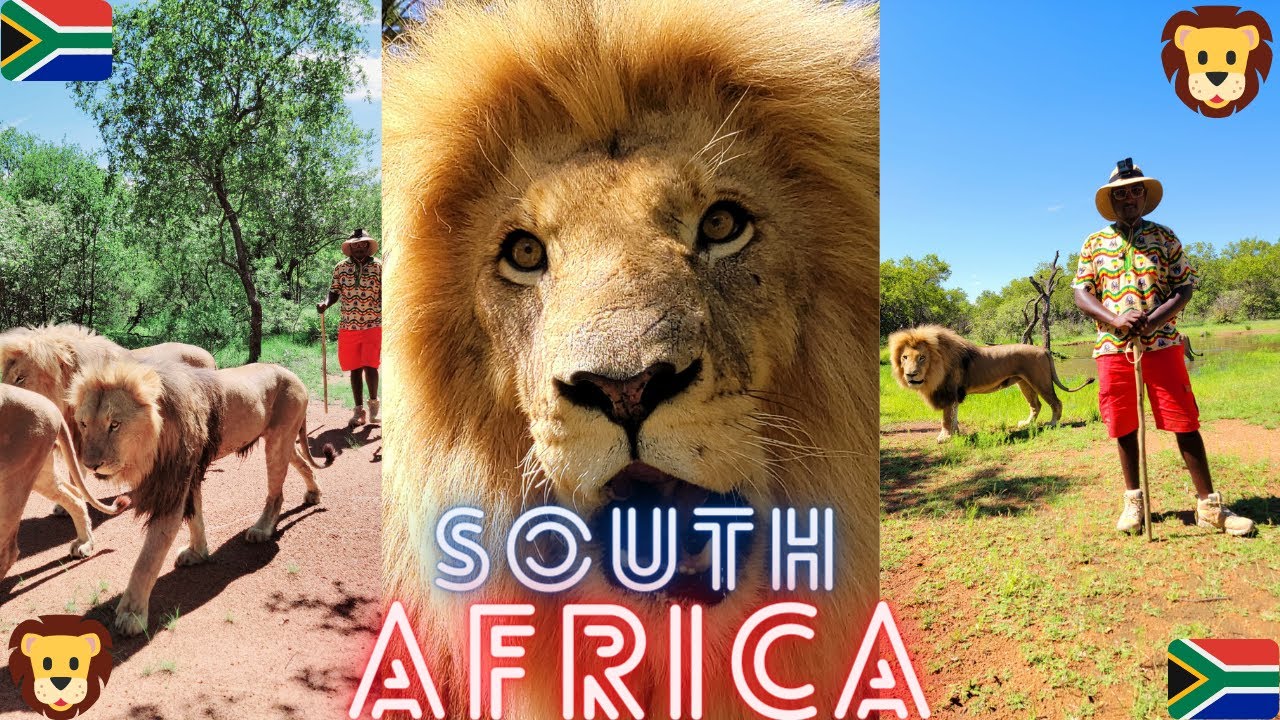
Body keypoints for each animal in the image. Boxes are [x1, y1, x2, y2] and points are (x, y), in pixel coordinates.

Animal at [1, 385, 125, 579]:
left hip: (16, 476)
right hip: (39, 473)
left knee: (9, 549)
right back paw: (84, 543)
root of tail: (54, 409)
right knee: (74, 496)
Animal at [69, 359, 333, 636]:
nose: (90, 465)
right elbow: (195, 517)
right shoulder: (189, 474)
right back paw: (314, 493)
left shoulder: (174, 485)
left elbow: (147, 559)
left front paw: (132, 614)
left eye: (115, 424)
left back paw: (262, 529)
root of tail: (293, 374)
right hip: (282, 440)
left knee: (276, 493)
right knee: (303, 463)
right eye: (84, 424)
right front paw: (197, 554)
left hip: (278, 442)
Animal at [889, 325, 1096, 443]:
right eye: (905, 357)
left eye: (922, 357)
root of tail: (1044, 349)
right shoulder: (954, 394)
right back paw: (1026, 424)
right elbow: (954, 416)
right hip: (1024, 383)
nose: (910, 375)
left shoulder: (949, 391)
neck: (935, 367)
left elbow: (946, 418)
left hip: (1040, 381)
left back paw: (1052, 423)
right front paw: (956, 434)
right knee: (1036, 405)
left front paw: (945, 437)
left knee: (1056, 402)